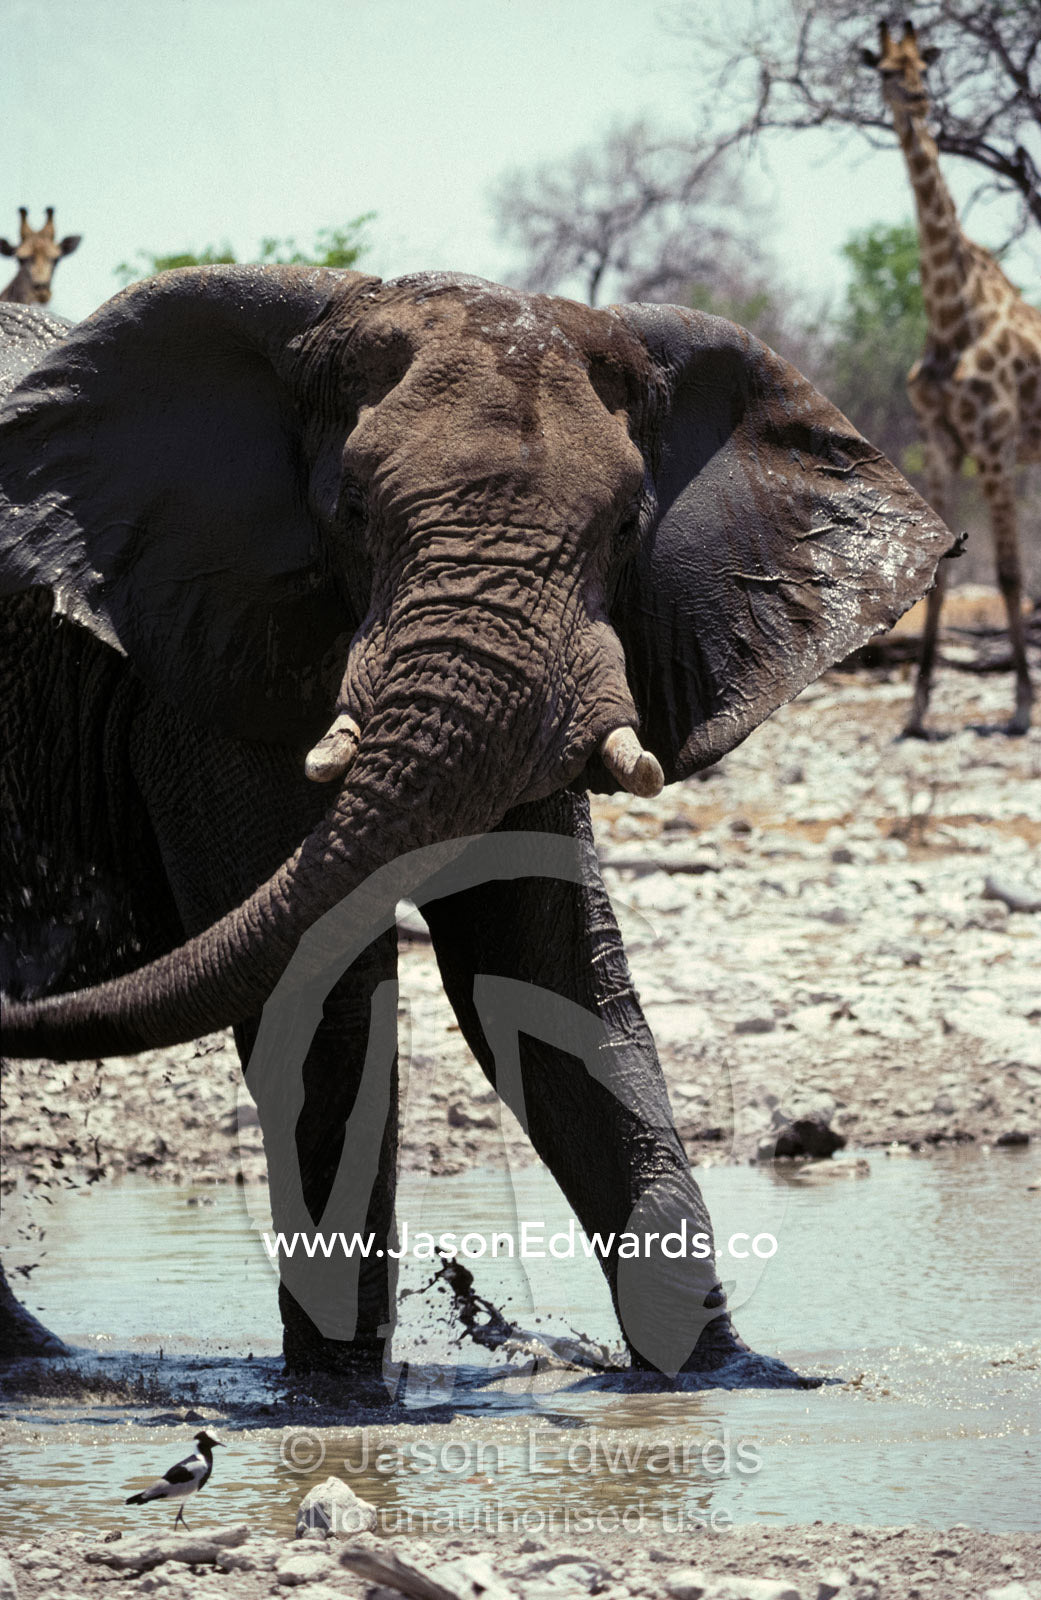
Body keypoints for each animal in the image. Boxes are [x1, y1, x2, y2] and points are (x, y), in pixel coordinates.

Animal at [0, 267, 951, 1382]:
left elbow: (551, 976)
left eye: (626, 527)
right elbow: (322, 994)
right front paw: (335, 1401)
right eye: (352, 509)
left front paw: (720, 1377)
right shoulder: (206, 678)